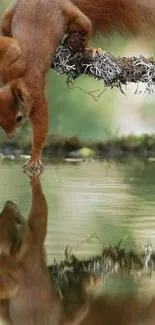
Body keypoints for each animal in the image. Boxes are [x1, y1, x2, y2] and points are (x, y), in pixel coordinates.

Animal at [0, 0, 155, 175]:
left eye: (19, 117)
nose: (10, 136)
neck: (17, 79)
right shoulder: (9, 60)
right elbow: (9, 45)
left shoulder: (36, 95)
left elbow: (41, 127)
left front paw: (34, 159)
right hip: (10, 12)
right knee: (5, 23)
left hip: (71, 13)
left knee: (85, 25)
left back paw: (91, 48)